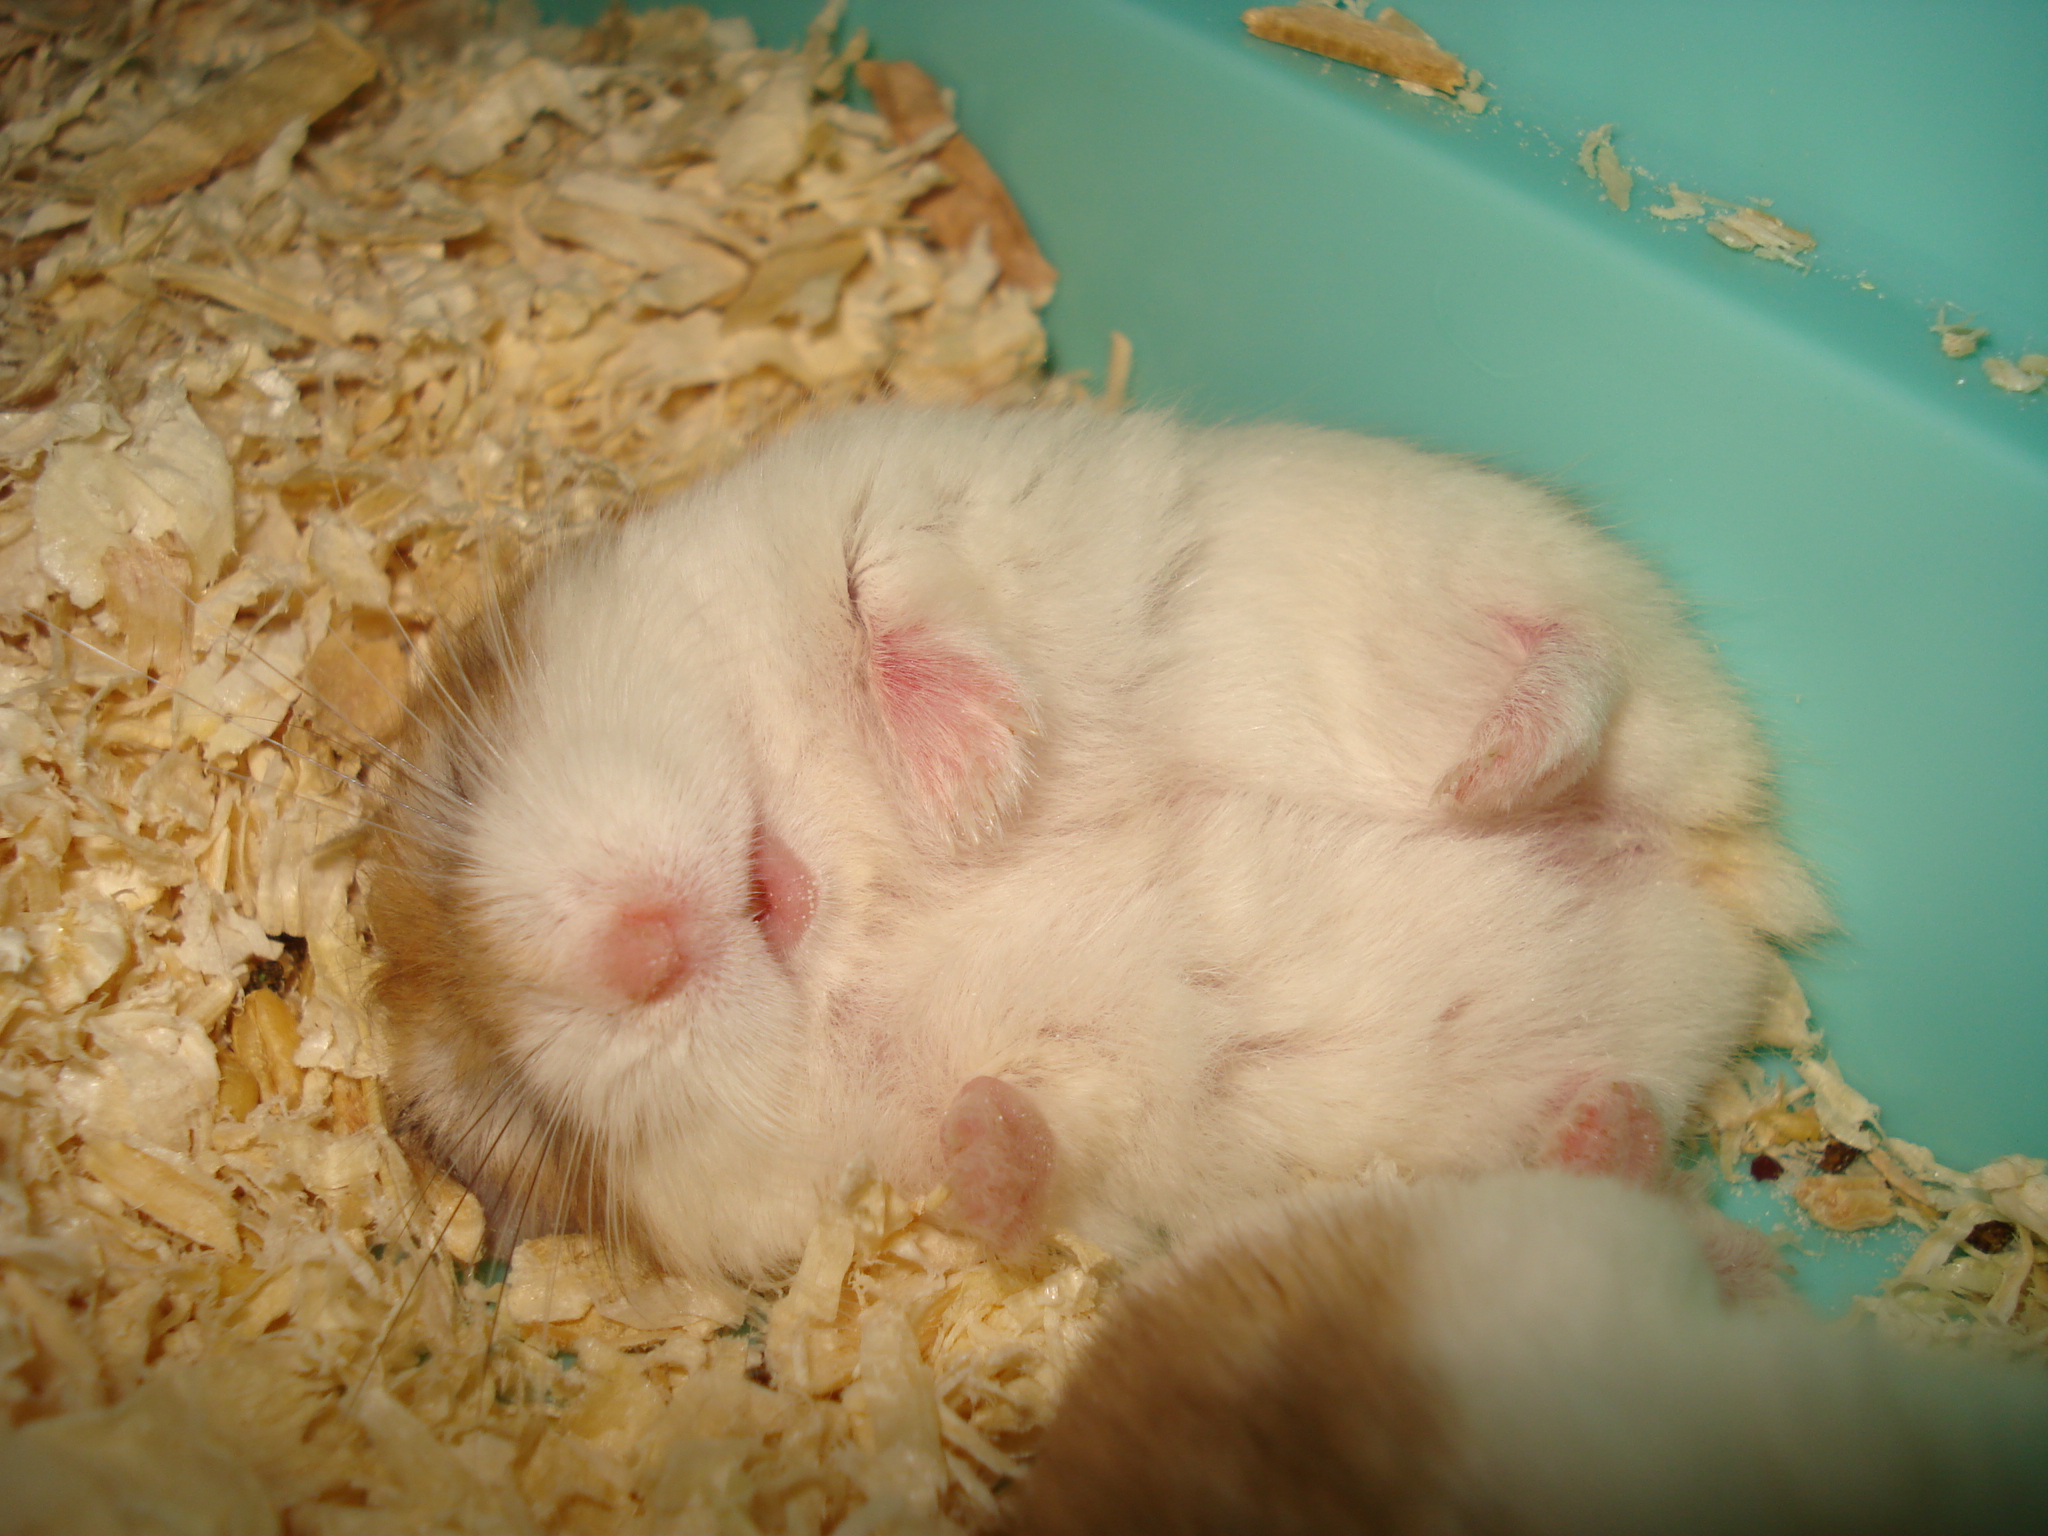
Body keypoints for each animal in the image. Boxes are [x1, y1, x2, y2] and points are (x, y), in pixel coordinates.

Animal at [366, 403, 1823, 1283]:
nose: (648, 950)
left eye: (460, 785)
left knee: (1584, 663)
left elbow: (888, 591)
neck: (850, 888)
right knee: (1616, 1141)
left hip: (1503, 573)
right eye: (507, 1108)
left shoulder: (880, 489)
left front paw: (973, 777)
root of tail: (1735, 890)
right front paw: (982, 1135)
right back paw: (1602, 1114)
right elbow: (1017, 1161)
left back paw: (1496, 767)